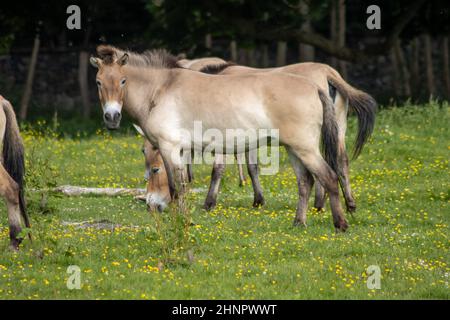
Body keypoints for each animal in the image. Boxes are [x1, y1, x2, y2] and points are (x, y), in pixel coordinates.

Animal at [89, 45, 348, 230]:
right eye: (98, 82)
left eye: (123, 81)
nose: (111, 117)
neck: (160, 90)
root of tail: (315, 87)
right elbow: (184, 185)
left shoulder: (170, 148)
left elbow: (177, 187)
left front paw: (182, 222)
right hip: (293, 149)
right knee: (305, 182)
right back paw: (298, 223)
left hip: (305, 148)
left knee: (329, 177)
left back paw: (340, 224)